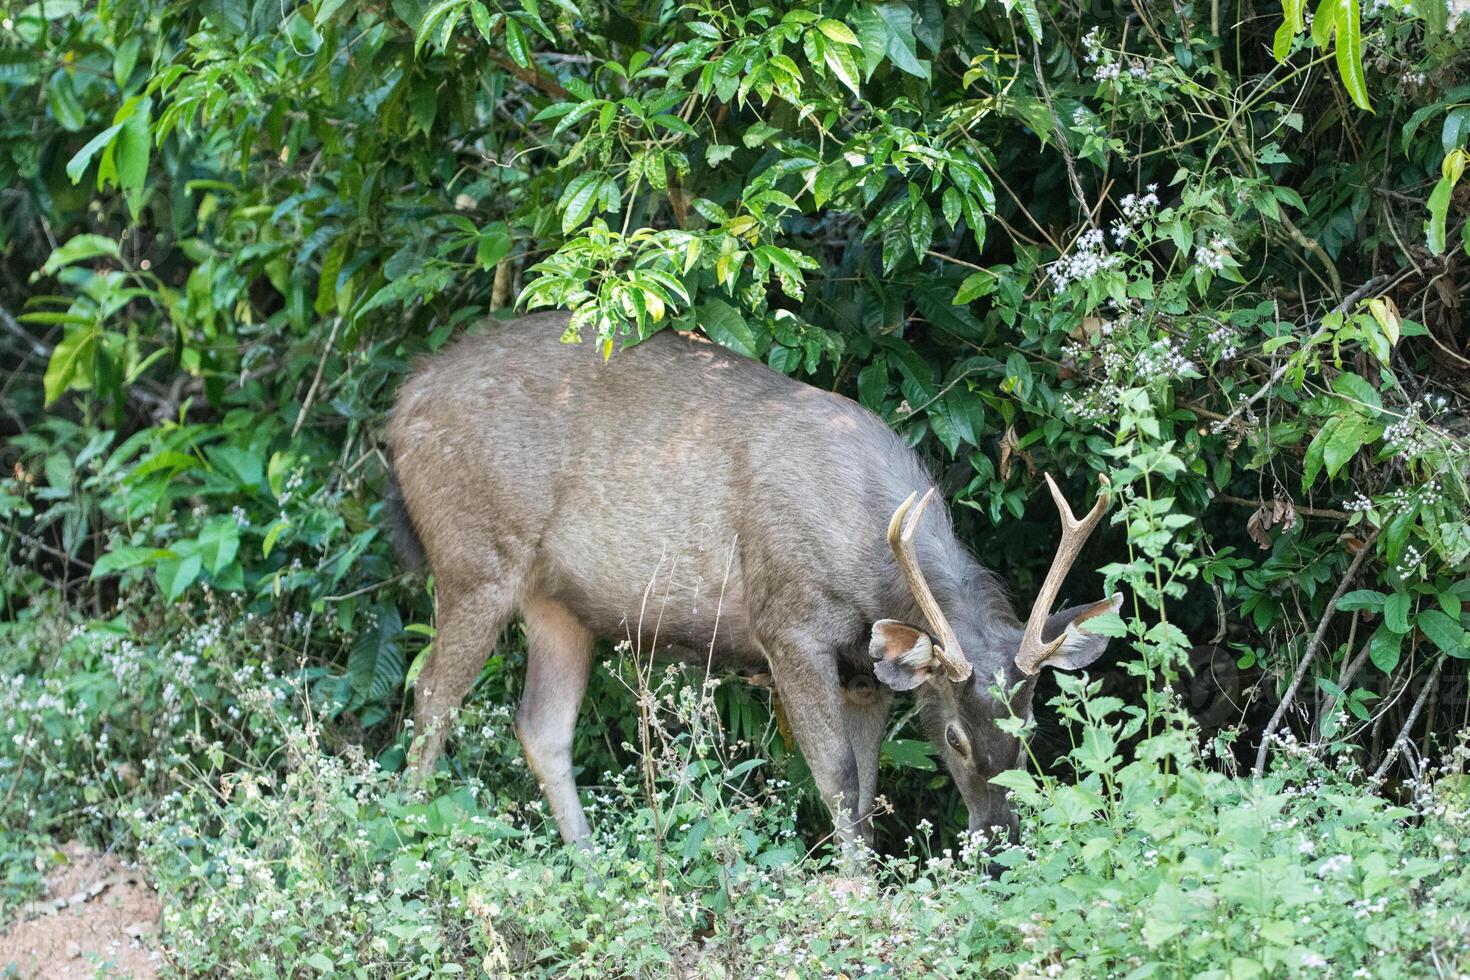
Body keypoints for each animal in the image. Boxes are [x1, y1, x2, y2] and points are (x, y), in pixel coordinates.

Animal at [385, 315, 1117, 852]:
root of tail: (403, 402)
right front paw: (855, 894)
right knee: (432, 698)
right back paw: (411, 844)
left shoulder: (866, 671)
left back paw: (590, 866)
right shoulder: (787, 625)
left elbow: (867, 784)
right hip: (473, 559)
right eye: (957, 739)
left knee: (541, 728)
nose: (1002, 838)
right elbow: (838, 779)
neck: (869, 557)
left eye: (1033, 731)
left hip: (557, 604)